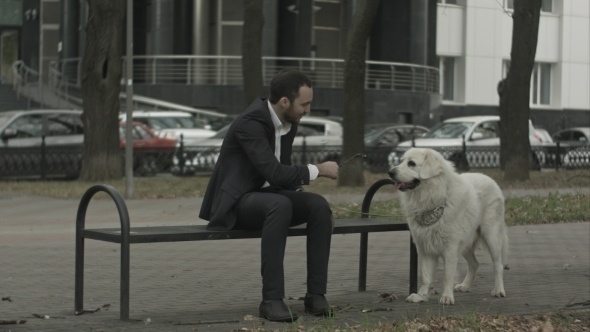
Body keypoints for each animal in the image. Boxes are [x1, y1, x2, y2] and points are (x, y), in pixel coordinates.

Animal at [390, 149, 512, 304]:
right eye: (402, 161)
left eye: (411, 163)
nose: (390, 172)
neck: (433, 198)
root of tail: (489, 179)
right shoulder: (425, 247)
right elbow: (425, 275)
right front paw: (421, 296)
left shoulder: (450, 248)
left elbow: (447, 275)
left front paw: (447, 297)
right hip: (465, 242)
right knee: (474, 264)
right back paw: (465, 286)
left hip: (491, 236)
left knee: (498, 265)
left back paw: (498, 290)